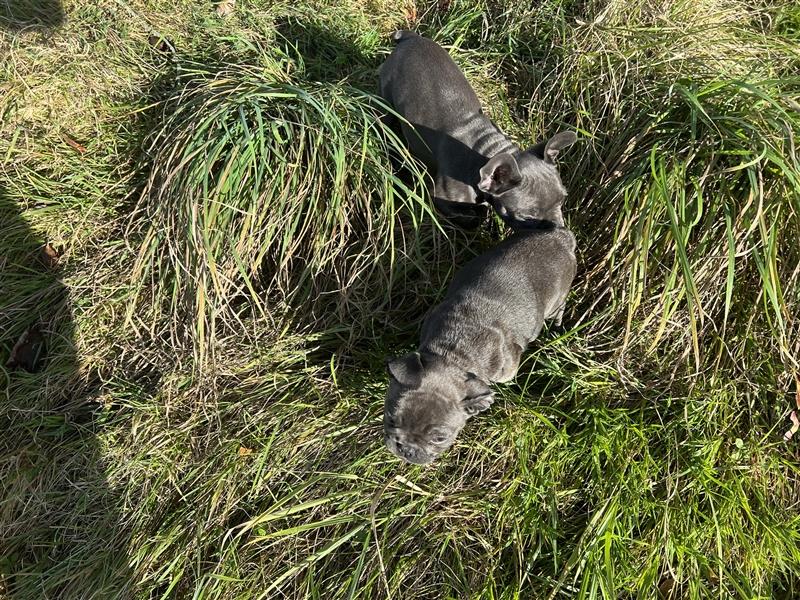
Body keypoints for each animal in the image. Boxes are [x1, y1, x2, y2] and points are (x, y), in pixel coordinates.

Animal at [378, 29, 580, 227]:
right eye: (527, 217)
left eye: (563, 200)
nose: (557, 228)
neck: (486, 152)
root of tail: (409, 37)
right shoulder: (442, 198)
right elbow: (469, 218)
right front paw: (477, 217)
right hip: (385, 100)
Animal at [382, 225, 576, 464]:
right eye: (390, 418)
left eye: (439, 439)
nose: (406, 450)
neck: (454, 354)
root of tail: (562, 237)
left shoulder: (507, 369)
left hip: (558, 298)